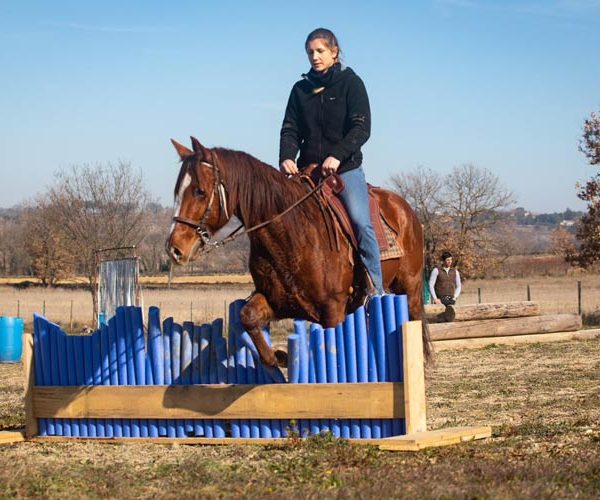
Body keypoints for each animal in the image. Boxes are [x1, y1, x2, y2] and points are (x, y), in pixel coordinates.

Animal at [164, 137, 428, 368]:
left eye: (199, 191)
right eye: (177, 190)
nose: (174, 248)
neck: (291, 235)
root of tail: (405, 209)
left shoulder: (333, 309)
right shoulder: (275, 301)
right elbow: (248, 317)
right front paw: (279, 357)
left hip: (410, 288)